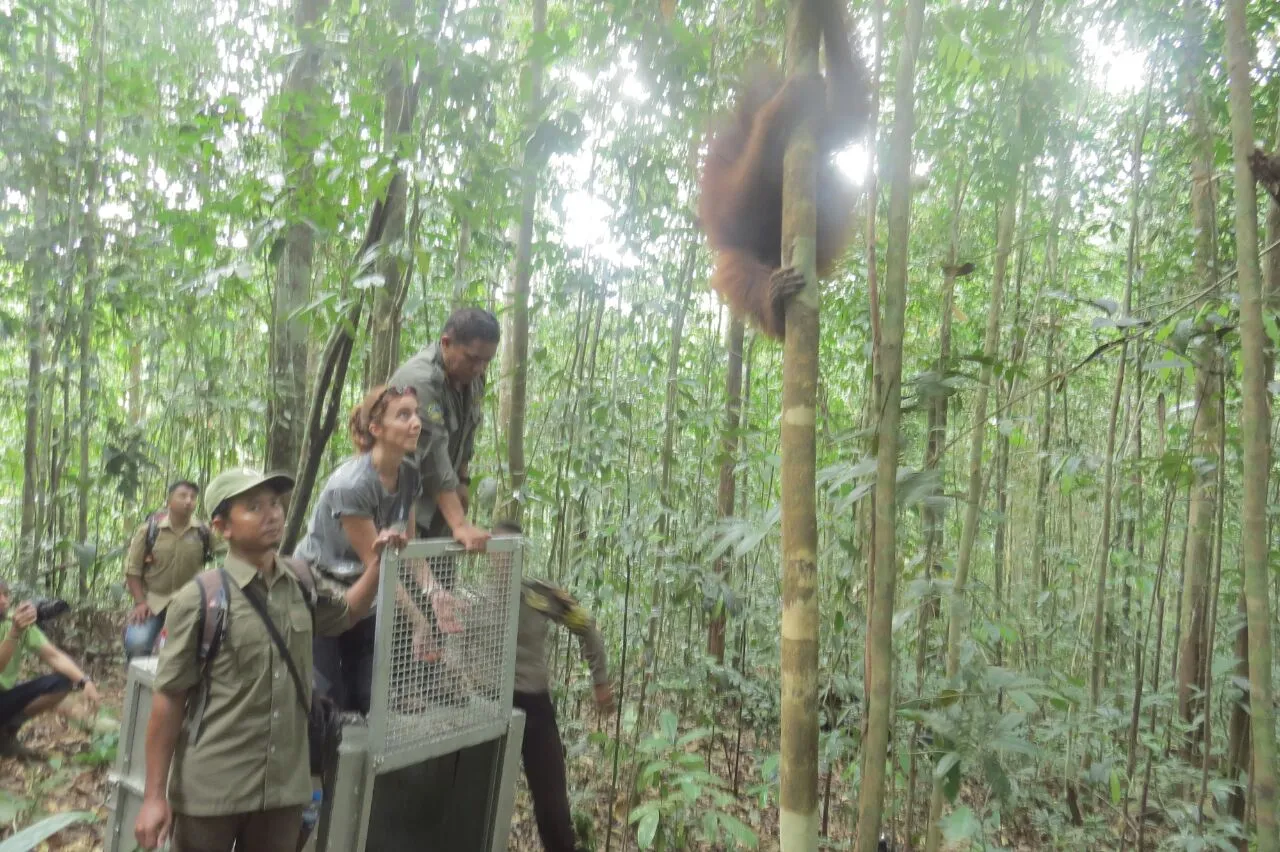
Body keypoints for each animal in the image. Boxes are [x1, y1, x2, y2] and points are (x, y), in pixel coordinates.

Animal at [698, 0, 870, 339]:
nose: (771, 91)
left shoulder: (821, 126)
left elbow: (848, 113)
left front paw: (827, 10)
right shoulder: (721, 153)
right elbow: (730, 216)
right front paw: (777, 108)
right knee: (736, 262)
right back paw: (774, 304)